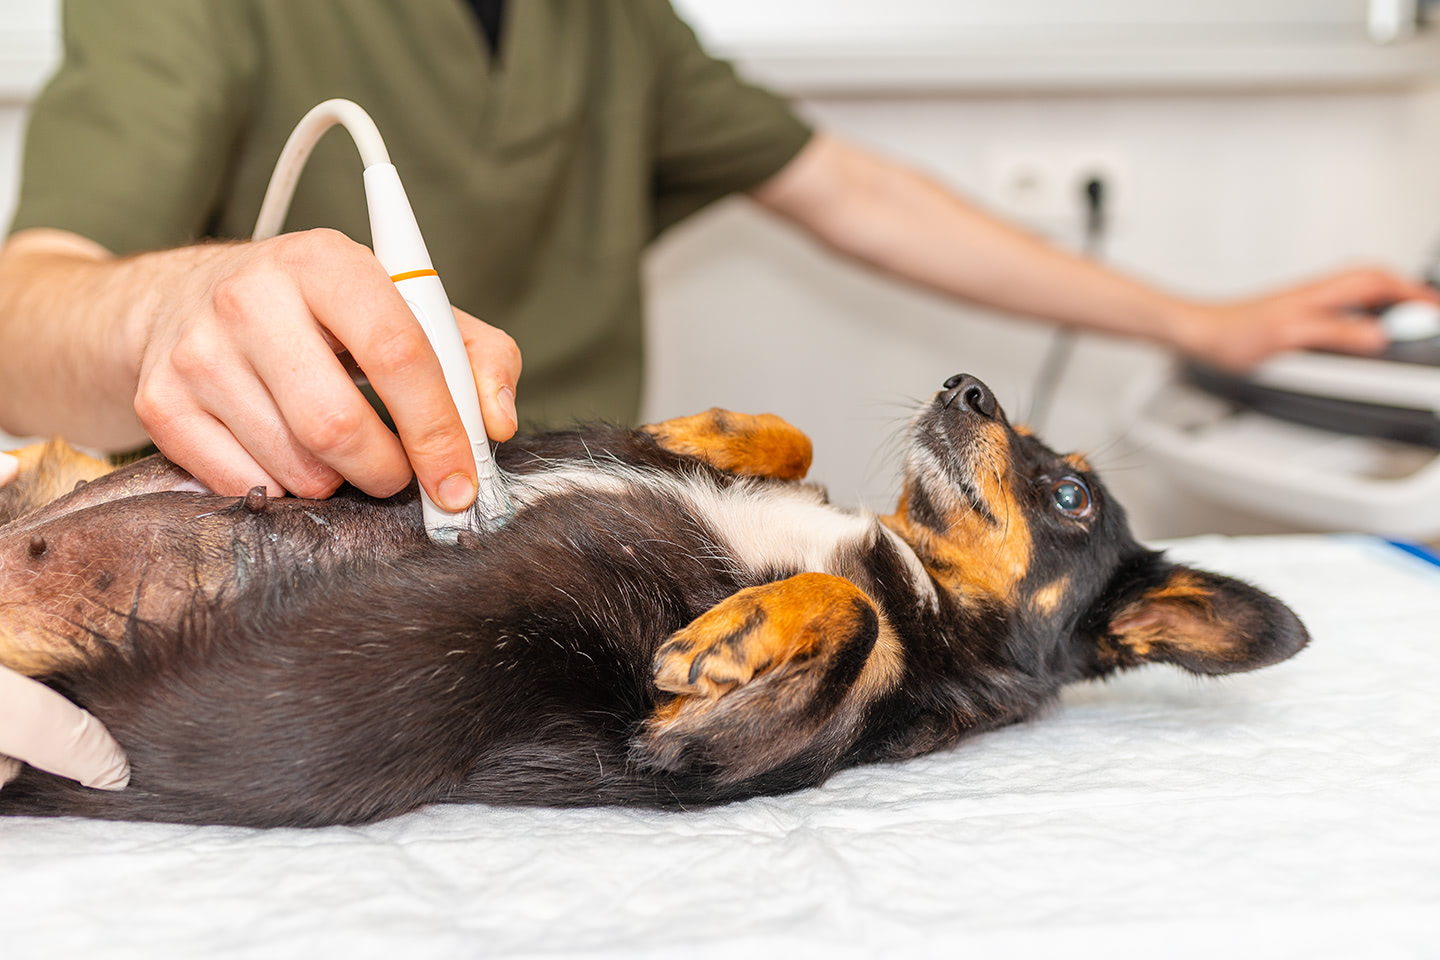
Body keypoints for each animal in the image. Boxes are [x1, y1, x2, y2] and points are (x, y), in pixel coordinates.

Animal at [0, 374, 1307, 829]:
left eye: (1071, 492)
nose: (965, 386)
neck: (918, 574)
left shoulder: (690, 758)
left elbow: (853, 621)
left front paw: (728, 637)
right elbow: (787, 440)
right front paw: (708, 428)